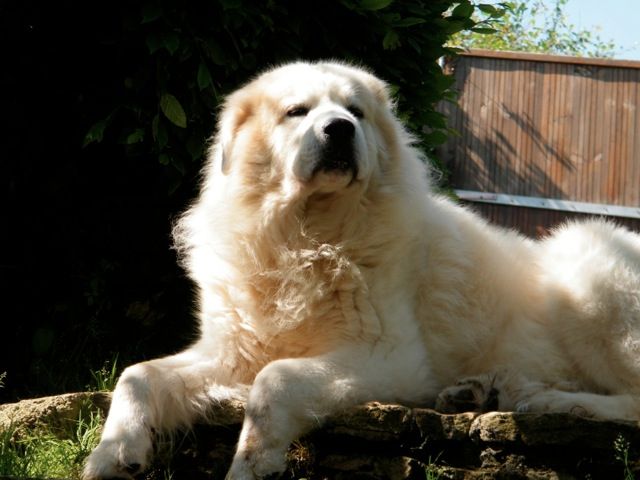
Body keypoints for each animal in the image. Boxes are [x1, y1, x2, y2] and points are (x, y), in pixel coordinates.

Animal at [82, 62, 640, 480]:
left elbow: (275, 378)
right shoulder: (230, 352)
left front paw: (252, 462)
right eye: (297, 111)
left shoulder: (393, 360)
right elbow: (137, 374)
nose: (339, 129)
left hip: (588, 262)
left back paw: (556, 402)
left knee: (632, 402)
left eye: (355, 112)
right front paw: (114, 452)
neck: (306, 237)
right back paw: (481, 391)